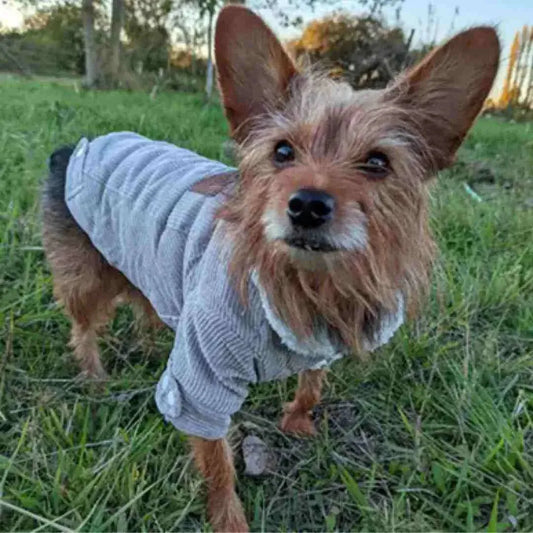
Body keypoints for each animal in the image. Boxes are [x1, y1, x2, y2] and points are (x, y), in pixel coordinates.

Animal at [41, 6, 498, 528]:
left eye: (378, 162)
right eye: (282, 152)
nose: (307, 205)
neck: (305, 286)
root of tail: (76, 147)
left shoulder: (319, 348)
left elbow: (313, 384)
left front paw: (298, 419)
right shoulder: (201, 381)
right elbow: (218, 462)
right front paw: (229, 519)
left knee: (144, 307)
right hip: (86, 279)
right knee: (83, 328)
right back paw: (96, 379)